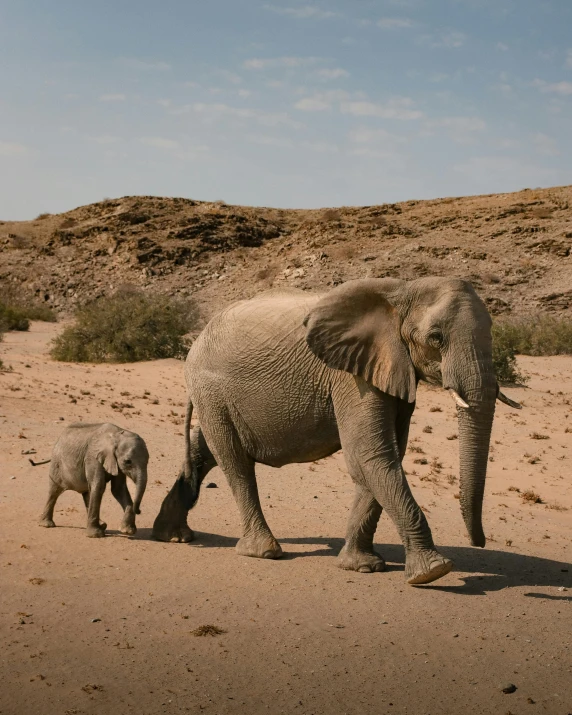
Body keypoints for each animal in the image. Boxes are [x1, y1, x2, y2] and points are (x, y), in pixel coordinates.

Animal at [154, 276, 520, 584]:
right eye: (436, 338)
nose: (479, 542)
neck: (401, 292)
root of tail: (199, 336)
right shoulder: (350, 376)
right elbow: (371, 454)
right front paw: (433, 572)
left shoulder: (391, 368)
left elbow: (382, 457)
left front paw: (362, 566)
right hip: (210, 388)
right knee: (234, 461)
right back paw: (264, 551)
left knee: (204, 451)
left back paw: (171, 535)